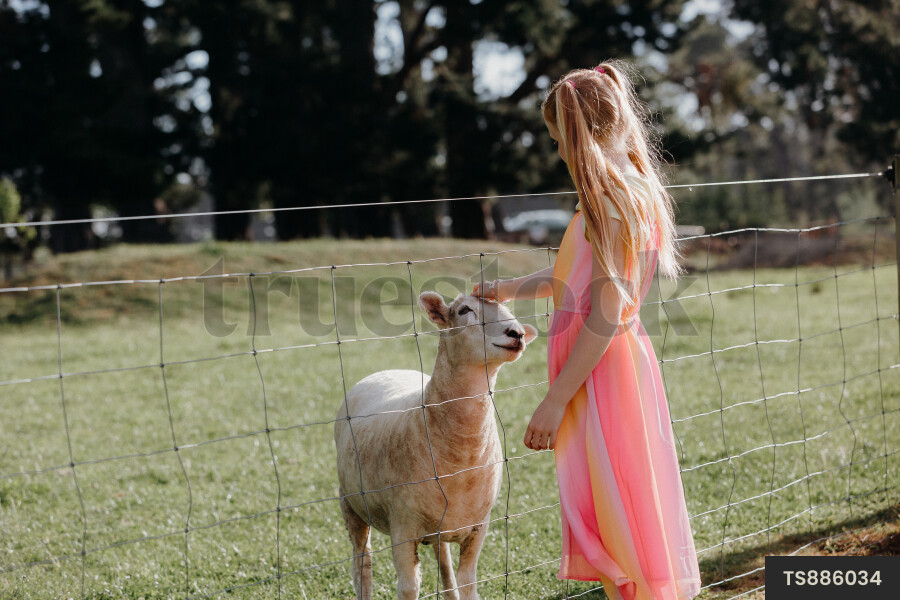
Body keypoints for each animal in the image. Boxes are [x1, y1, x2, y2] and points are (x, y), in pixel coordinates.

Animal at [334, 292, 538, 600]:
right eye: (465, 310)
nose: (516, 333)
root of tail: (386, 371)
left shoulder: (479, 527)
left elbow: (467, 583)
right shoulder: (402, 528)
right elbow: (409, 588)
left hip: (441, 520)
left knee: (444, 563)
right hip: (351, 503)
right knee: (362, 563)